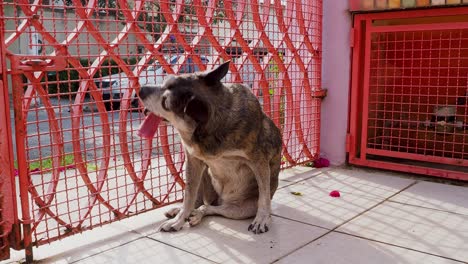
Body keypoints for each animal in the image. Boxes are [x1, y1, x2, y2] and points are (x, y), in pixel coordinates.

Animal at [136, 61, 282, 233]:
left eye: (166, 101)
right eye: (164, 82)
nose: (140, 89)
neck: (211, 127)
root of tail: (220, 200)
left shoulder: (259, 162)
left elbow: (264, 196)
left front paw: (261, 219)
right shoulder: (193, 161)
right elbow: (188, 195)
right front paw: (179, 219)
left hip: (241, 209)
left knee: (209, 208)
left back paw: (197, 214)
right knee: (199, 201)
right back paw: (182, 211)